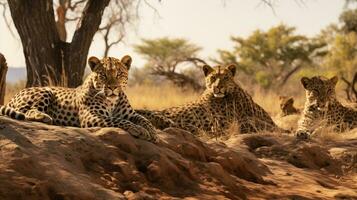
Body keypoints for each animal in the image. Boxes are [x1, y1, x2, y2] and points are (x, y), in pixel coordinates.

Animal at [0, 55, 156, 141]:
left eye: (119, 74)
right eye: (103, 75)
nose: (112, 88)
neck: (112, 101)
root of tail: (14, 95)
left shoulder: (131, 114)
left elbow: (145, 120)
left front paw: (153, 134)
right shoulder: (91, 116)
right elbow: (118, 120)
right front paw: (139, 130)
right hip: (45, 91)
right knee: (26, 111)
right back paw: (45, 117)